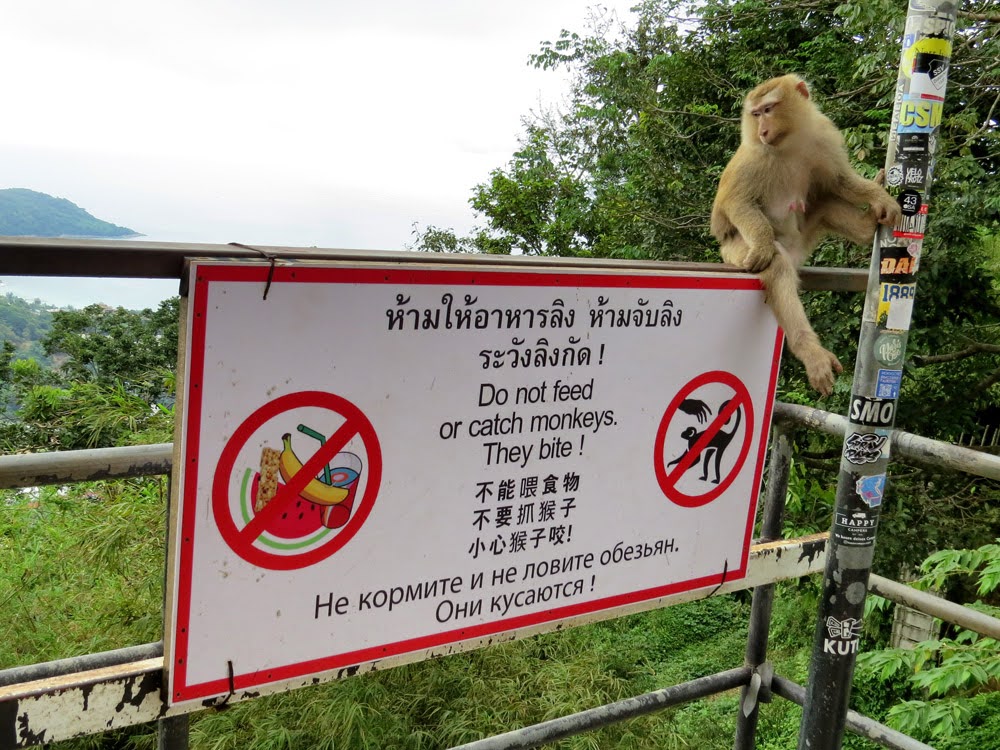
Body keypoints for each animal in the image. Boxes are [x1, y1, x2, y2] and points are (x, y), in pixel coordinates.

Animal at [712, 73, 900, 396]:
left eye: (768, 109)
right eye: (755, 114)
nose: (762, 130)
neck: (788, 141)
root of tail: (796, 251)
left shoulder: (822, 134)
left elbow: (838, 181)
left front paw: (878, 196)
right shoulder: (755, 155)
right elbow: (736, 202)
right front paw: (762, 244)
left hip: (806, 235)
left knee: (824, 202)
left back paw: (866, 225)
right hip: (736, 249)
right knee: (777, 265)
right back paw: (809, 349)